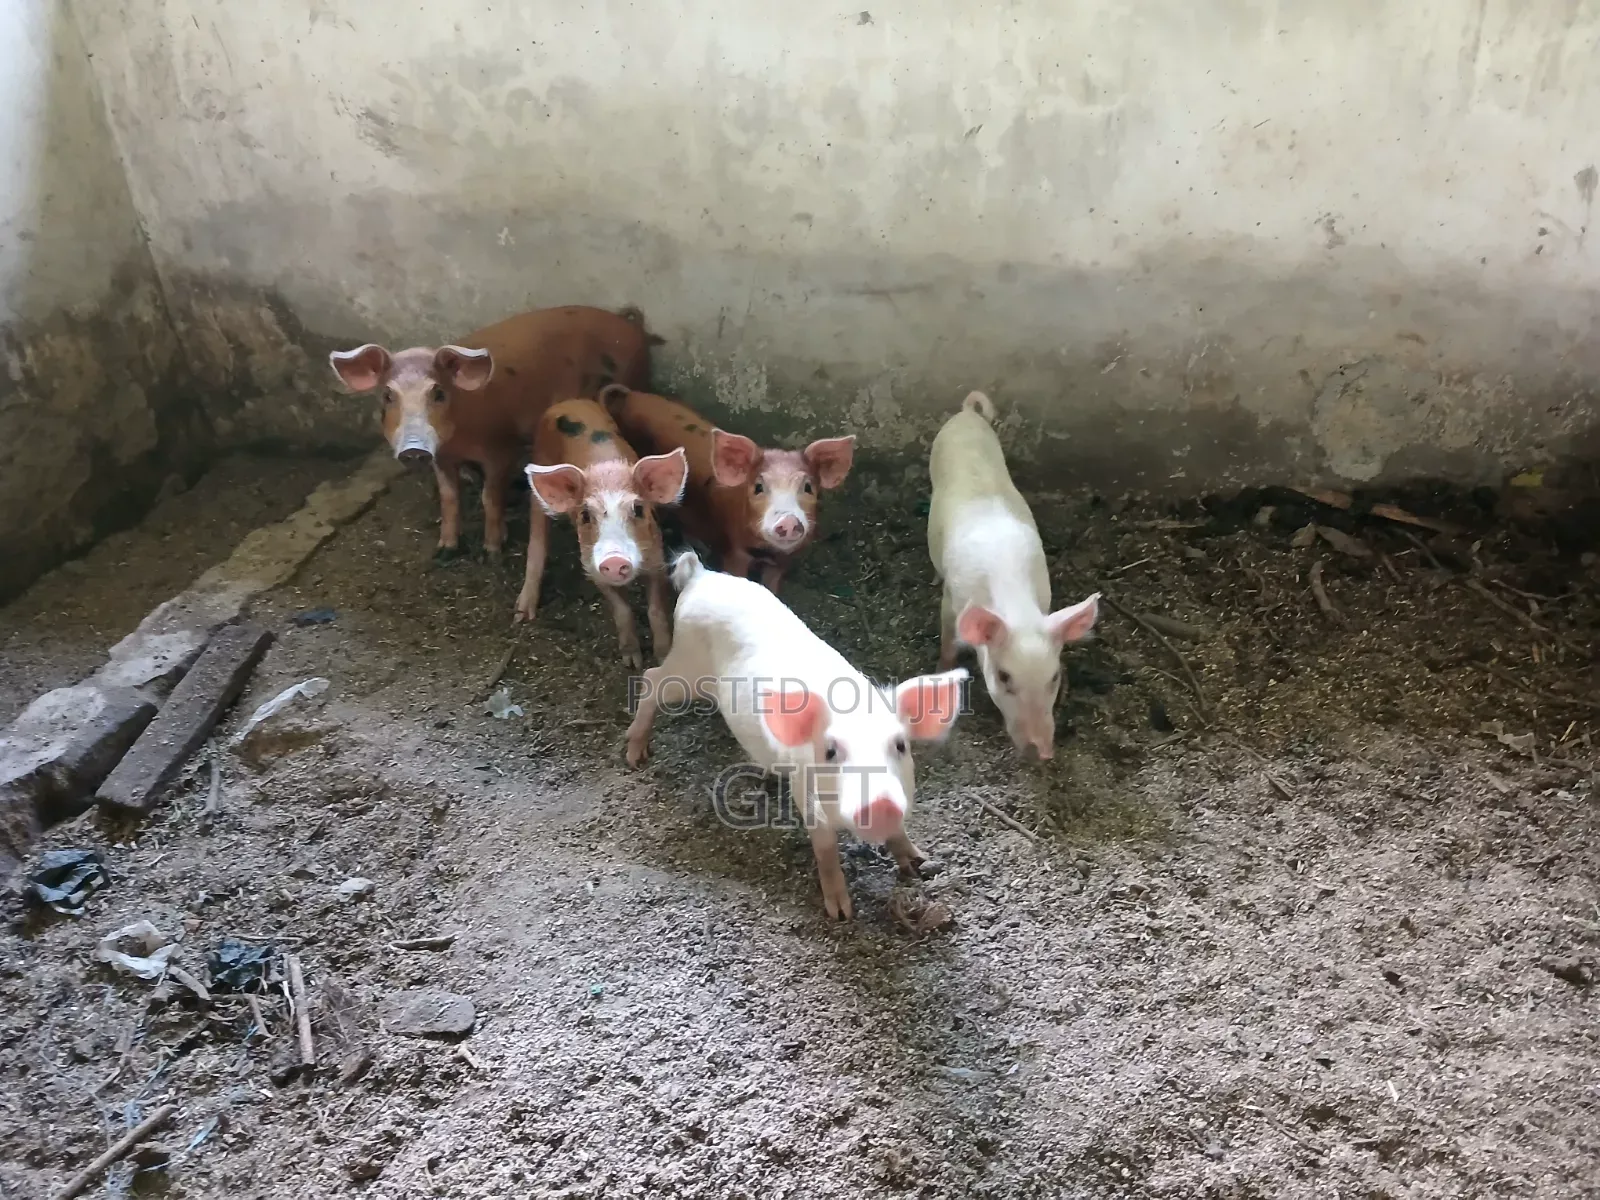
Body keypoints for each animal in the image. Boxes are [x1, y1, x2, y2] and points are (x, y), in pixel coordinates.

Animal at [328, 305, 658, 562]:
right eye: (387, 395)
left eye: (438, 392)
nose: (413, 449)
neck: (460, 438)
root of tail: (630, 325)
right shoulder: (441, 458)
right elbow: (449, 497)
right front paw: (444, 552)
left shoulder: (501, 449)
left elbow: (490, 496)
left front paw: (492, 551)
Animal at [520, 397, 689, 667]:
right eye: (585, 515)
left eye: (638, 509)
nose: (614, 559)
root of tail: (568, 401)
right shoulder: (592, 566)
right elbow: (622, 610)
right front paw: (632, 662)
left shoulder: (657, 558)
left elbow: (656, 611)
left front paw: (662, 658)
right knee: (537, 536)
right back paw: (523, 615)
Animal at [602, 385, 855, 592]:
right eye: (758, 487)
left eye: (808, 487)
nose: (789, 520)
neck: (765, 552)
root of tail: (632, 395)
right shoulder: (734, 552)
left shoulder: (783, 561)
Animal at [624, 550, 968, 920]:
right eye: (830, 751)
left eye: (900, 745)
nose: (879, 802)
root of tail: (701, 577)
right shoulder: (807, 791)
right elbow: (825, 848)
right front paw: (841, 913)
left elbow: (900, 835)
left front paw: (919, 863)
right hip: (687, 668)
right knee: (651, 678)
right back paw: (635, 755)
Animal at [927, 390, 1100, 760]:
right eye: (1004, 677)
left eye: (1053, 678)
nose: (1042, 752)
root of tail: (966, 415)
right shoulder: (951, 601)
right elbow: (948, 641)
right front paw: (941, 671)